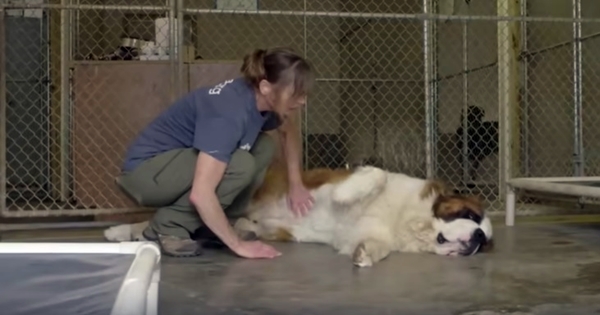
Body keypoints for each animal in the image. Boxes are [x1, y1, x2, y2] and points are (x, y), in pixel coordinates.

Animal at [105, 163, 494, 270]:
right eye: (468, 214)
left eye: (486, 242)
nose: (477, 239)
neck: (411, 221)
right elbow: (378, 174)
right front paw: (347, 195)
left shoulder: (370, 233)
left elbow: (372, 245)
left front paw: (365, 256)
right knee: (158, 219)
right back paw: (119, 231)